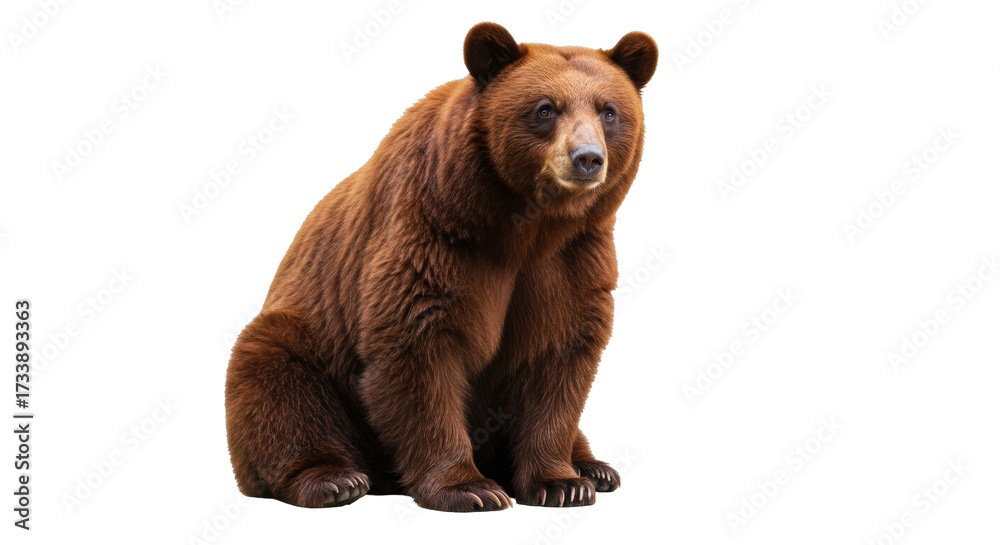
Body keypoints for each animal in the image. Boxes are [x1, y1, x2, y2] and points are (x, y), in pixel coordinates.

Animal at [225, 22, 657, 512]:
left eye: (609, 111)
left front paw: (561, 483)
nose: (587, 157)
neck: (525, 226)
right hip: (305, 339)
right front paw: (470, 488)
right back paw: (334, 479)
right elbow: (419, 349)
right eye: (545, 109)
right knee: (276, 381)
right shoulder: (436, 234)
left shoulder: (572, 258)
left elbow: (558, 359)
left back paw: (594, 468)